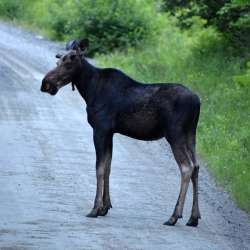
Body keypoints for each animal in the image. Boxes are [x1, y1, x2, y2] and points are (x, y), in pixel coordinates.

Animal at [40, 39, 201, 227]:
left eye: (69, 63)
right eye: (58, 61)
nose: (45, 84)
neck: (89, 89)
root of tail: (198, 102)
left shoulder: (100, 130)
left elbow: (99, 168)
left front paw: (95, 208)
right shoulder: (110, 133)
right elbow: (108, 167)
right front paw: (105, 207)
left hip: (175, 134)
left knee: (186, 167)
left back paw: (174, 216)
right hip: (191, 134)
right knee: (196, 166)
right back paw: (193, 217)